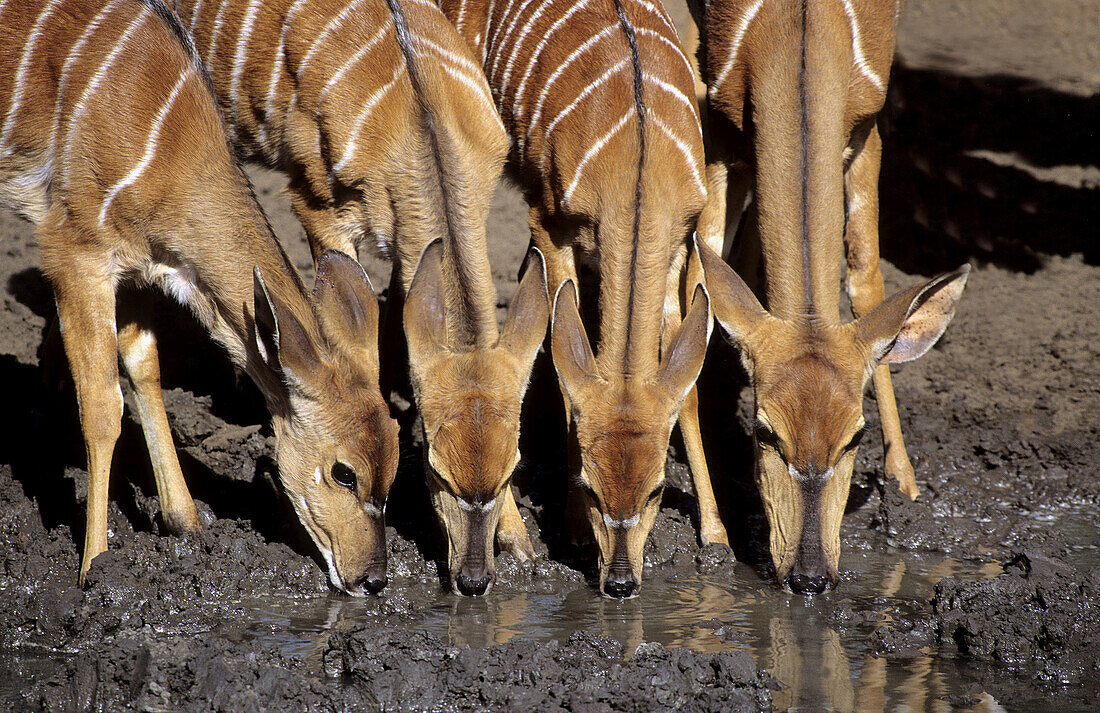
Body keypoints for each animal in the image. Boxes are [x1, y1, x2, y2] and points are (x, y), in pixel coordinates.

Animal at [0, 0, 402, 594]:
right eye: (343, 472)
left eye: (395, 462)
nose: (373, 579)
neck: (166, 144)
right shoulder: (75, 253)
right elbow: (101, 406)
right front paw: (95, 563)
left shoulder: (137, 266)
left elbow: (144, 367)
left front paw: (186, 523)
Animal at [178, 0, 550, 594]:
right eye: (435, 471)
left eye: (513, 466)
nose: (472, 580)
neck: (418, 114)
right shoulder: (317, 208)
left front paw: (518, 542)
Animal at [444, 0, 712, 594]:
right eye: (590, 486)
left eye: (658, 488)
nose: (620, 583)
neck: (637, 161)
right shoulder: (549, 221)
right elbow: (565, 366)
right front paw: (569, 530)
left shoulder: (680, 239)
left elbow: (687, 387)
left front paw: (717, 534)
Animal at [690, 0, 968, 589]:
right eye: (765, 433)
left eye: (856, 437)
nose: (810, 576)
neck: (799, 38)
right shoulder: (722, 125)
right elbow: (700, 272)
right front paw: (714, 529)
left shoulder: (866, 129)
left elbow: (865, 280)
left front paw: (906, 487)